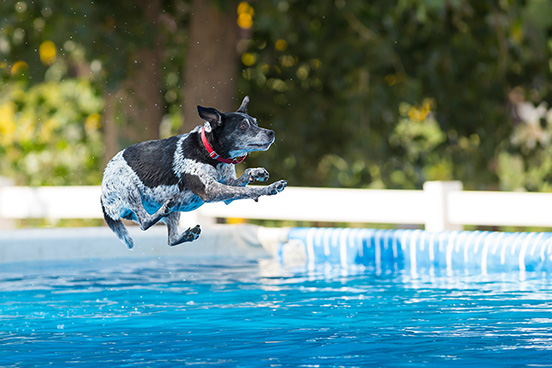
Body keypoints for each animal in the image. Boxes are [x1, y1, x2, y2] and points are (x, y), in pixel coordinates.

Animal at [101, 96, 286, 249]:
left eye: (255, 122)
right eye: (243, 125)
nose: (271, 133)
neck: (208, 151)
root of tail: (102, 197)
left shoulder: (226, 187)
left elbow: (244, 178)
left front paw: (257, 172)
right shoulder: (210, 190)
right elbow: (249, 191)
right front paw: (271, 187)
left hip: (174, 211)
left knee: (171, 239)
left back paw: (187, 234)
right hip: (130, 190)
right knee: (145, 222)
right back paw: (163, 209)